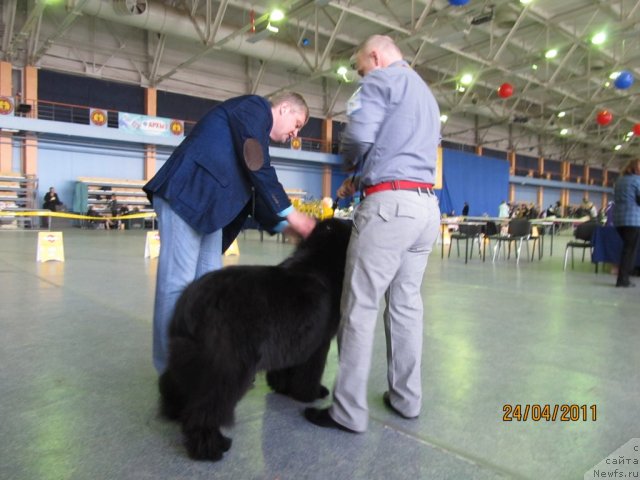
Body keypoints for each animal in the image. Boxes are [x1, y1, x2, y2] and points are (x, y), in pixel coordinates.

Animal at [158, 218, 352, 462]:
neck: (319, 261)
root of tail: (193, 301)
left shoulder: (290, 343)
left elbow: (284, 369)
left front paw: (281, 387)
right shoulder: (317, 345)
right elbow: (309, 374)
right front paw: (311, 393)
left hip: (186, 355)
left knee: (173, 382)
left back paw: (173, 411)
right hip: (227, 367)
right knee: (206, 408)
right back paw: (210, 446)